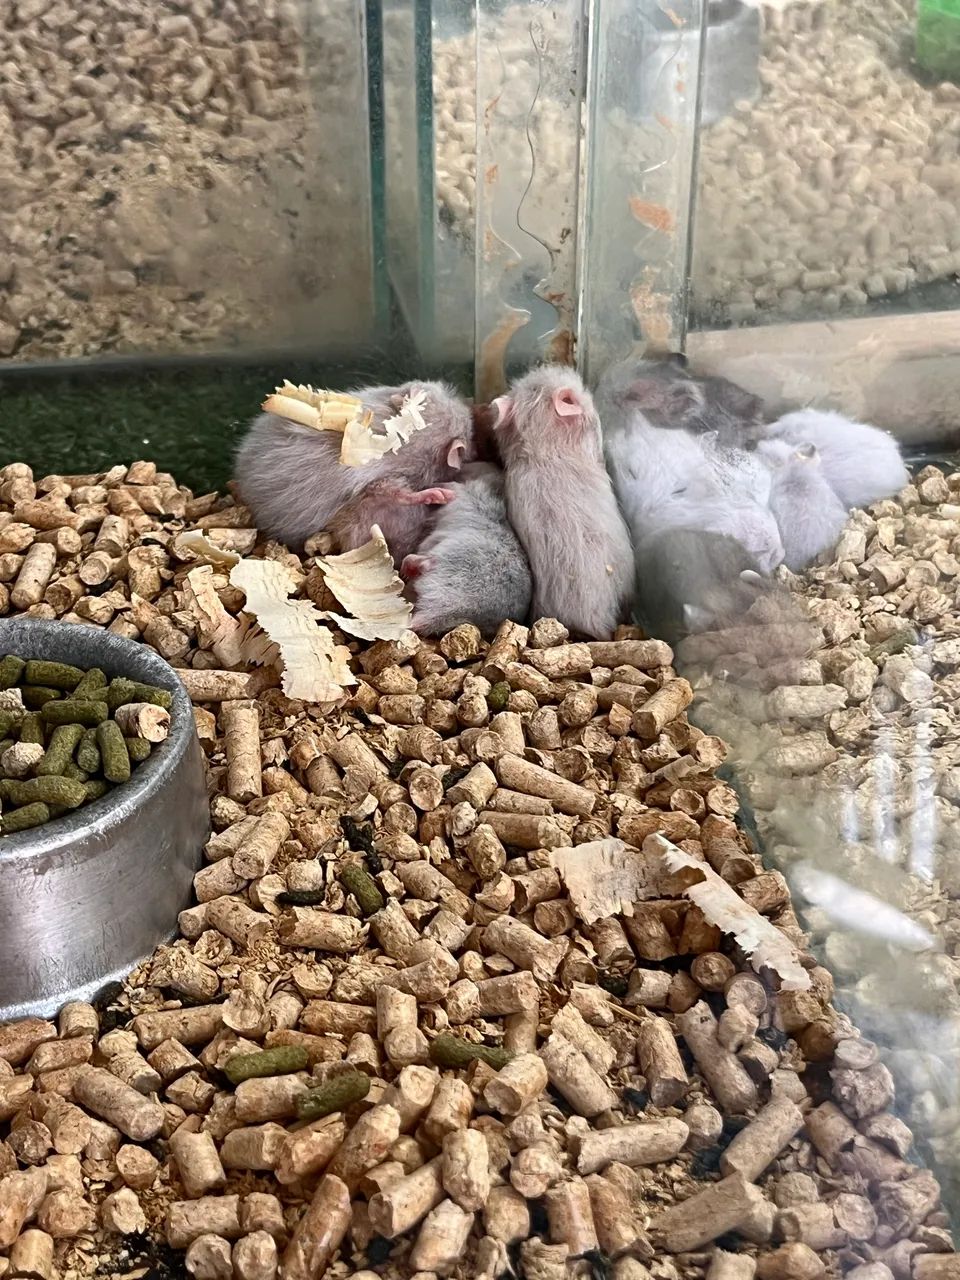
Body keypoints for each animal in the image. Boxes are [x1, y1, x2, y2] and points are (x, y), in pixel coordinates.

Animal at [400, 463, 532, 638]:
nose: (463, 466)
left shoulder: (460, 490)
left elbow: (449, 488)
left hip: (446, 560)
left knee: (420, 561)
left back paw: (406, 571)